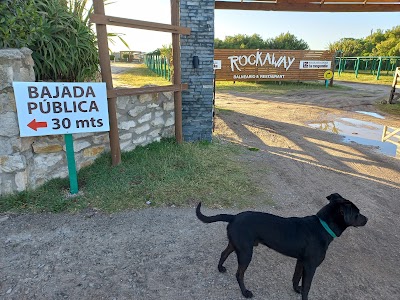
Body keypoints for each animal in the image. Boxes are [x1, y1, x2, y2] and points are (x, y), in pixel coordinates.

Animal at [195, 193, 368, 298]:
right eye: (357, 213)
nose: (367, 219)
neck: (322, 226)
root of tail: (233, 217)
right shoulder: (311, 266)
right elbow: (307, 286)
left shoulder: (301, 261)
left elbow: (296, 278)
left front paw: (296, 290)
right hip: (246, 253)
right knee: (239, 274)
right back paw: (245, 292)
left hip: (236, 245)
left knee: (223, 253)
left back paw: (220, 268)